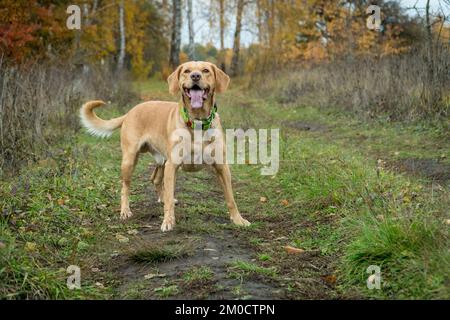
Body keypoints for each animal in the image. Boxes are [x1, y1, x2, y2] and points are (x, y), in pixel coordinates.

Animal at [81, 61, 250, 231]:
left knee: (155, 179)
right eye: (187, 71)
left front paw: (238, 219)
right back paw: (125, 211)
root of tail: (130, 112)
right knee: (125, 187)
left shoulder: (222, 167)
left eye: (205, 70)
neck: (197, 121)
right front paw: (168, 221)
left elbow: (231, 198)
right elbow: (169, 198)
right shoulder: (172, 165)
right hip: (130, 160)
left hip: (162, 160)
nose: (195, 76)